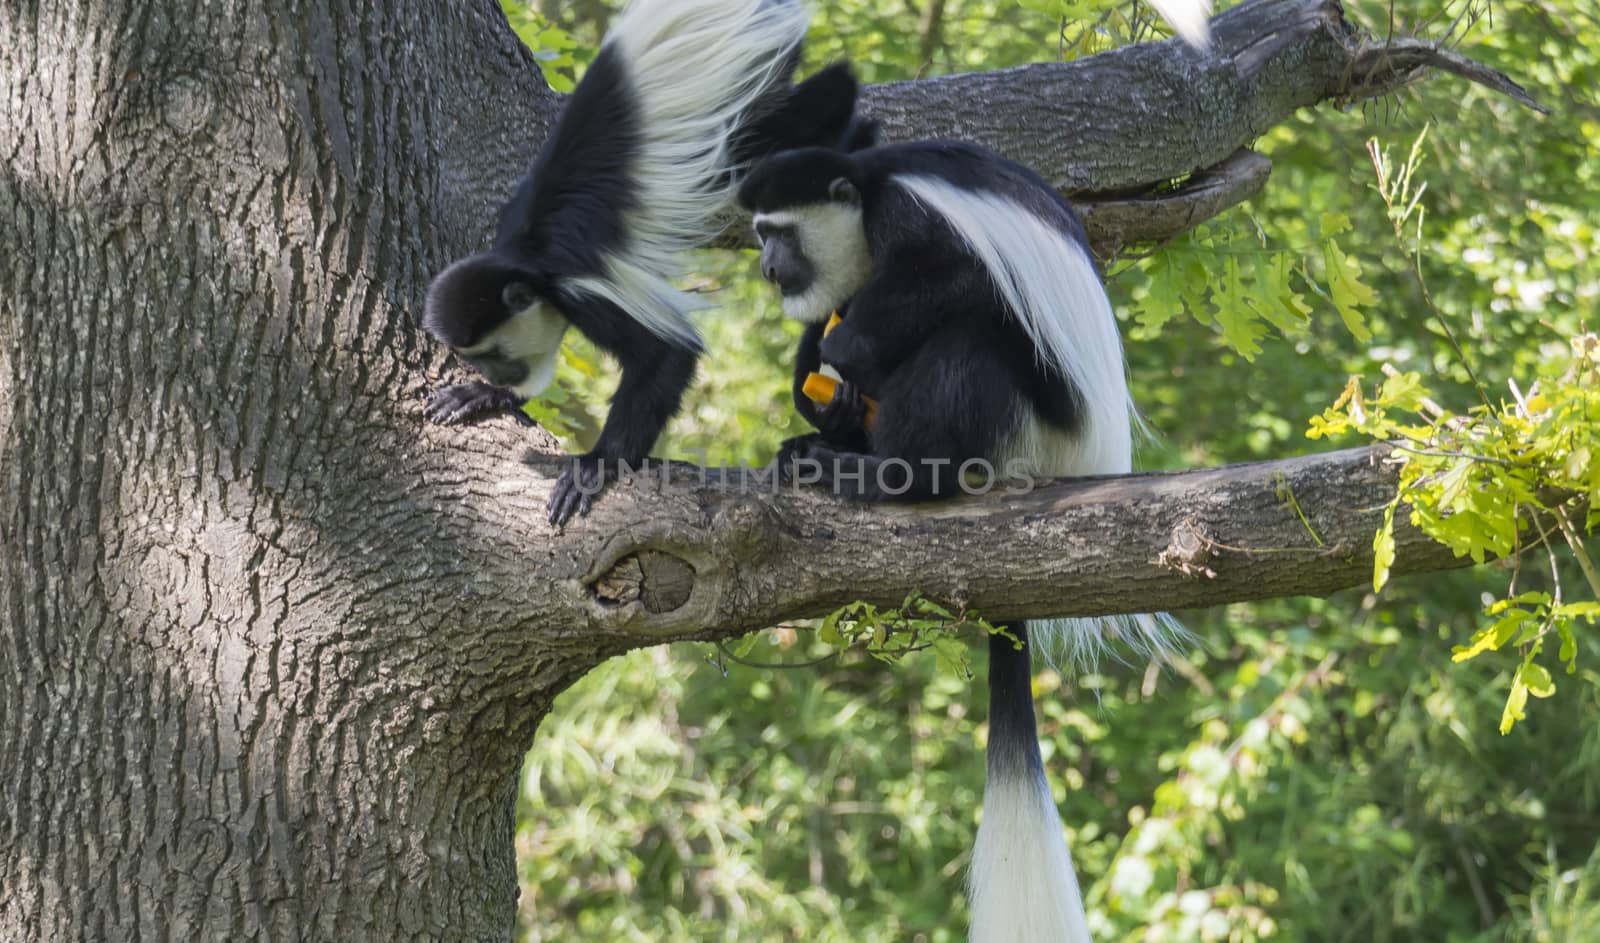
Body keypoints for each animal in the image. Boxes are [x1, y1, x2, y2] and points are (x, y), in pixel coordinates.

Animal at [419, 0, 870, 521]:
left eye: (493, 354)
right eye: (475, 359)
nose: (493, 375)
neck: (528, 259)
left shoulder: (583, 291)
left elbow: (667, 354)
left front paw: (596, 464)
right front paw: (482, 395)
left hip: (765, 65)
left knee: (819, 99)